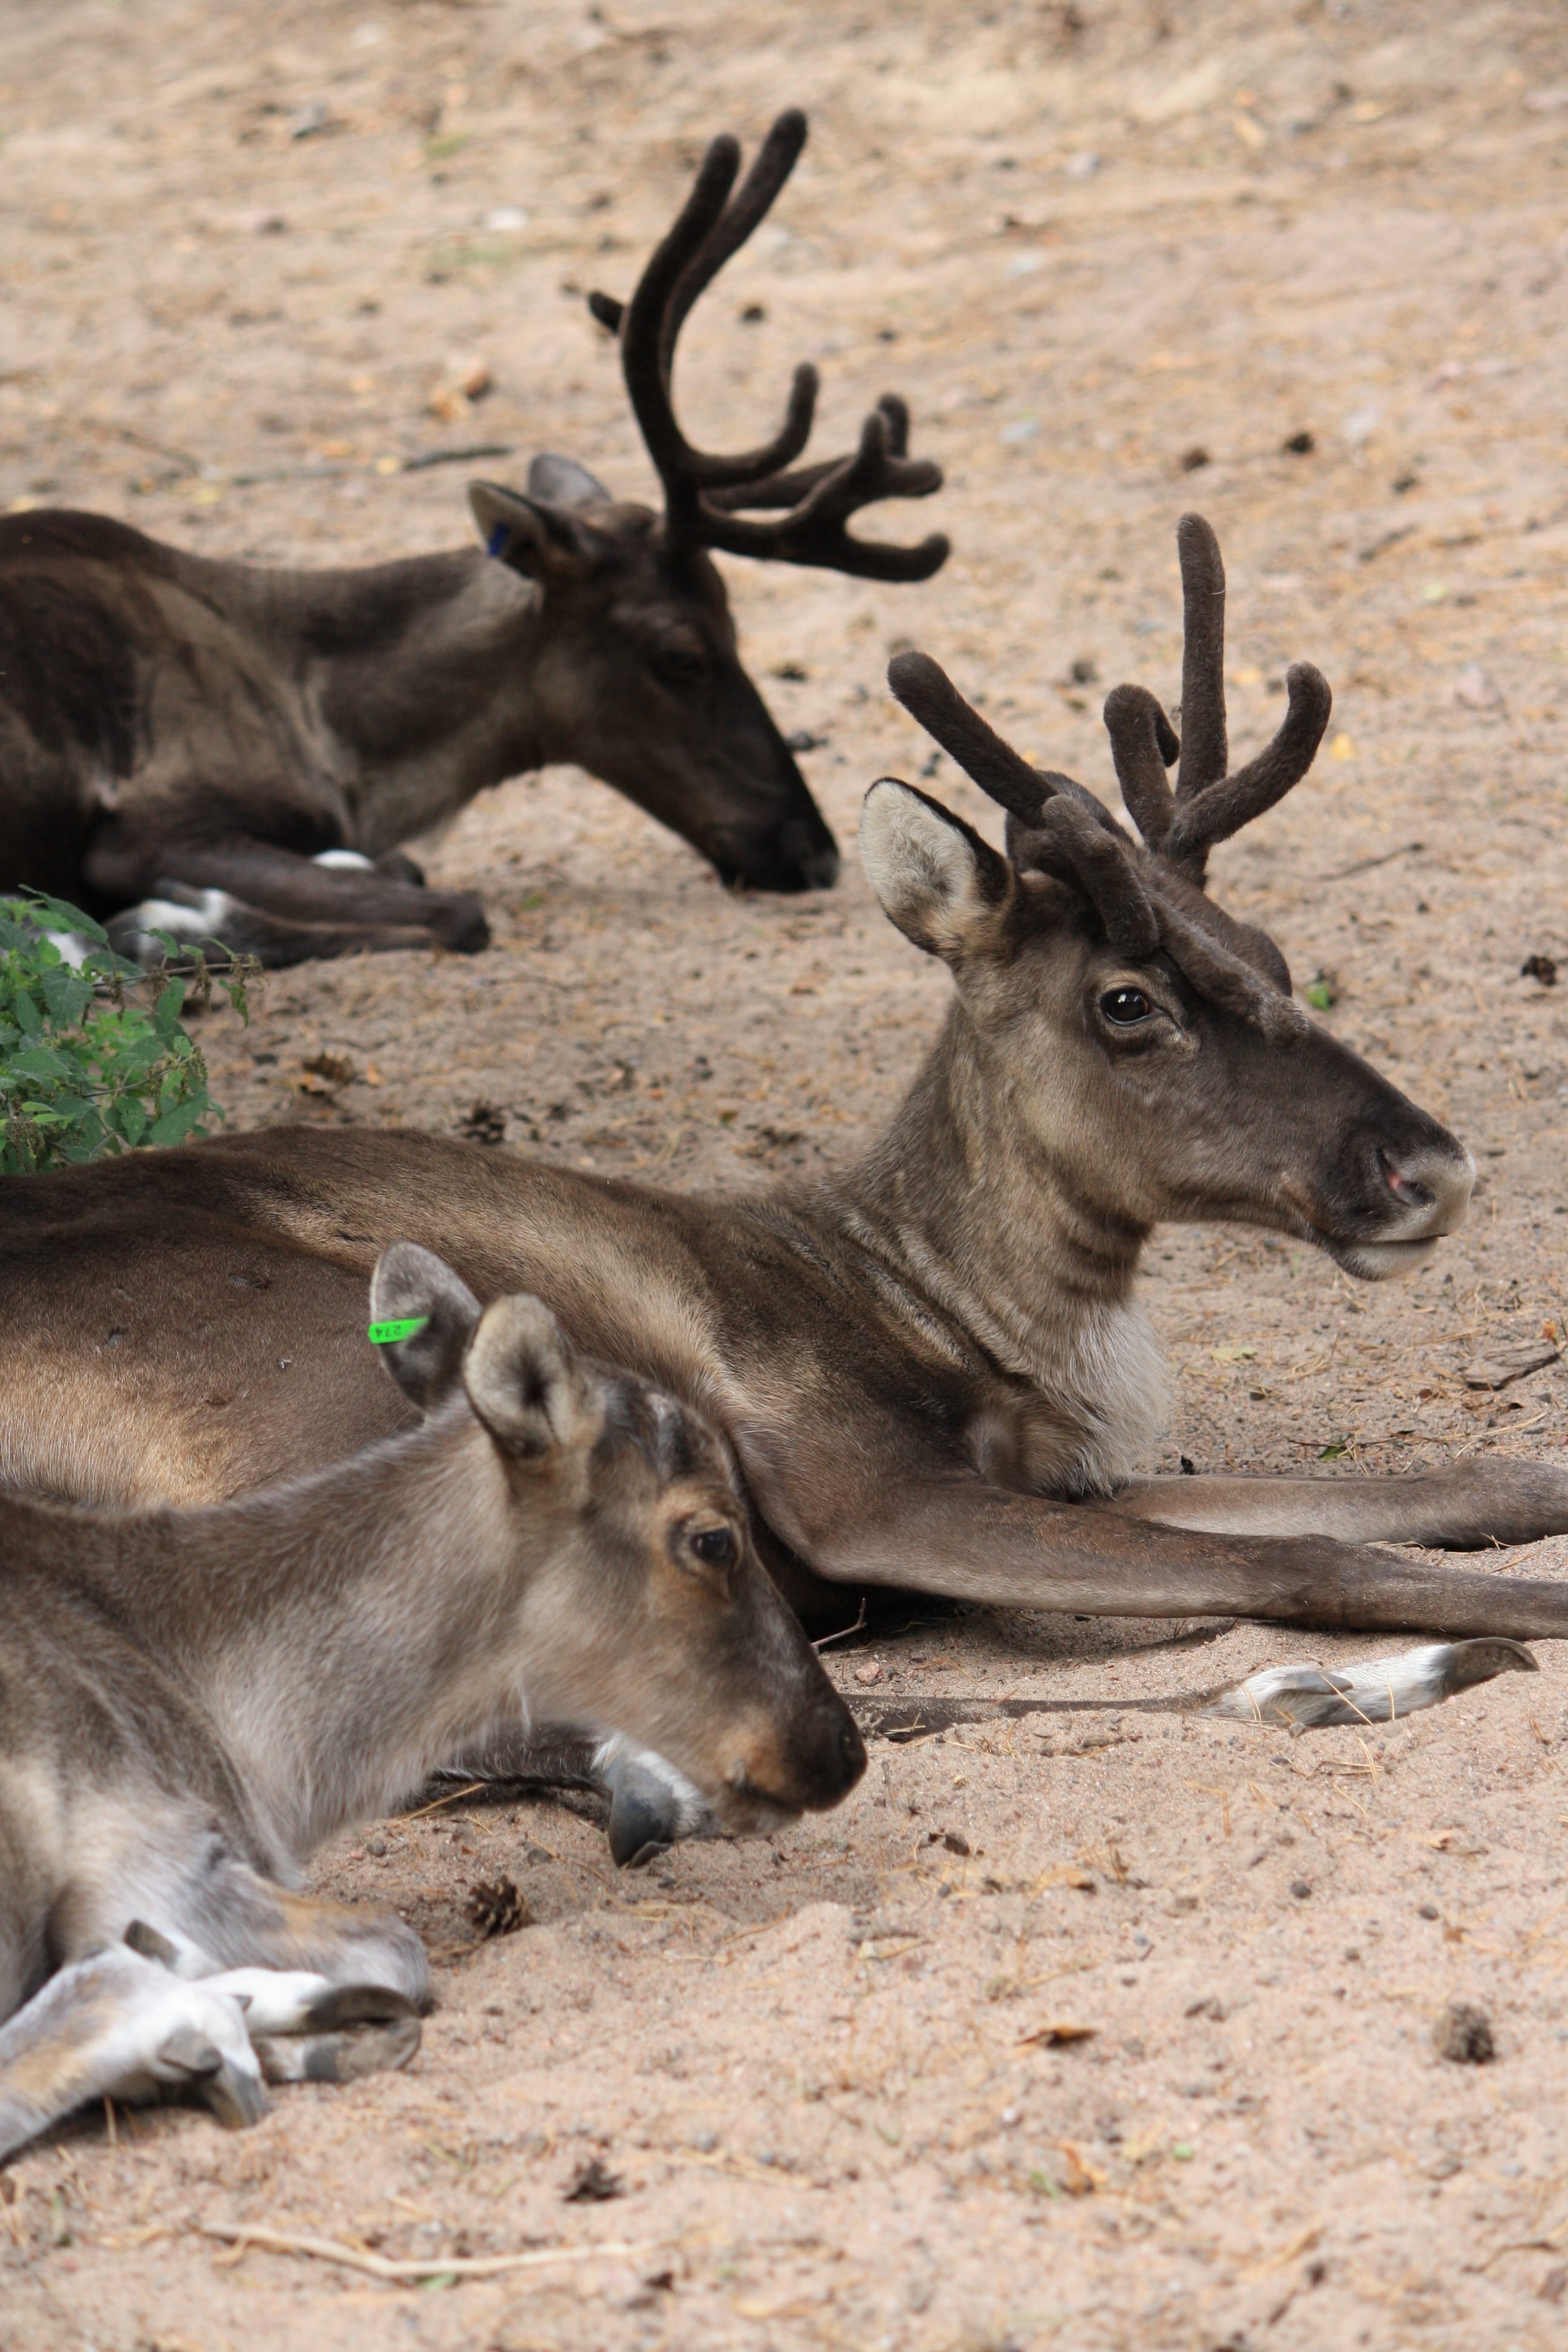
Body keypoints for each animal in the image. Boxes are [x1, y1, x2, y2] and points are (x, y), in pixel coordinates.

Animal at [0, 111, 946, 969]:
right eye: (681, 654)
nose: (812, 852)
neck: (337, 736)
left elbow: (408, 870)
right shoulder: (155, 821)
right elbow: (457, 909)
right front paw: (165, 921)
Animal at [4, 514, 1566, 1855]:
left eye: (1268, 948)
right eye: (1126, 1001)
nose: (1427, 1167)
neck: (971, 1310)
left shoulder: (1075, 1468)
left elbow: (1455, 1478)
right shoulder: (855, 1483)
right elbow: (1314, 1552)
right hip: (360, 1396)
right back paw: (1335, 1683)